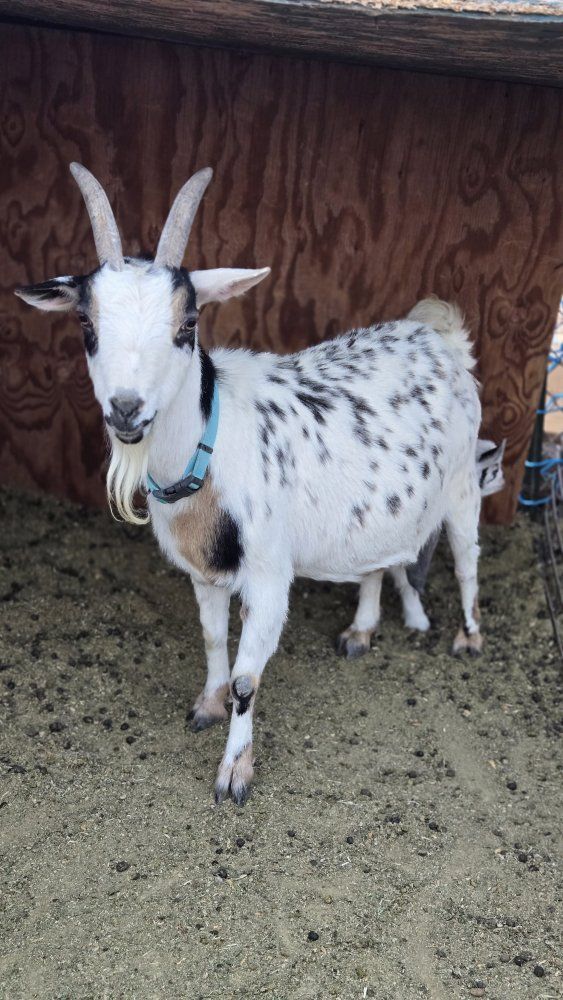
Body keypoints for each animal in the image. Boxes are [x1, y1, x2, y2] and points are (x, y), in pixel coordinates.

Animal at [16, 164, 483, 805]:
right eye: (85, 322)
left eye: (188, 323)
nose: (127, 410)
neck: (210, 454)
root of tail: (440, 334)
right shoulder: (204, 570)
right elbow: (213, 642)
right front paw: (206, 706)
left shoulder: (268, 575)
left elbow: (246, 678)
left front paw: (234, 773)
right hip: (382, 507)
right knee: (376, 562)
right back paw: (360, 631)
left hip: (463, 486)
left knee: (466, 562)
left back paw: (469, 638)